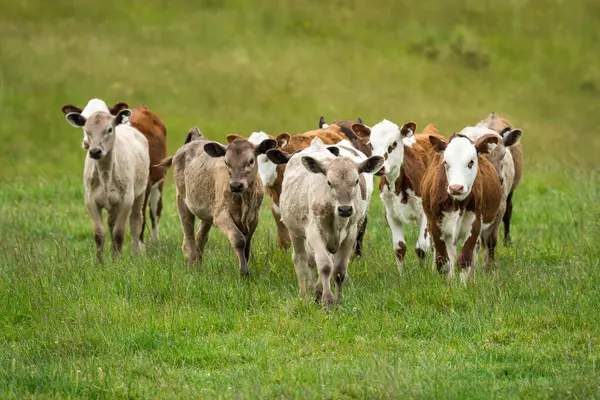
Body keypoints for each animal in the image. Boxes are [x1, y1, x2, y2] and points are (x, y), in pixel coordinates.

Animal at [61, 101, 168, 244]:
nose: (87, 144)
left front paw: (140, 244)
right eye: (83, 123)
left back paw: (155, 241)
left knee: (155, 211)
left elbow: (141, 218)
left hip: (158, 181)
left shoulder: (145, 185)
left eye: (109, 128)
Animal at [161, 130, 276, 276]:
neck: (243, 200)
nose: (236, 185)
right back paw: (191, 267)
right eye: (226, 162)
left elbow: (247, 244)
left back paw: (198, 267)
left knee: (201, 237)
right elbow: (239, 240)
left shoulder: (254, 217)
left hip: (206, 213)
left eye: (251, 161)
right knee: (188, 239)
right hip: (182, 201)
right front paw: (244, 272)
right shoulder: (221, 215)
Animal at [370, 120, 446, 274]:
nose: (379, 166)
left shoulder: (424, 213)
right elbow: (399, 247)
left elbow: (421, 247)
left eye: (393, 143)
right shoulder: (390, 214)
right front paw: (402, 275)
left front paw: (424, 273)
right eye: (370, 145)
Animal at [420, 133, 504, 282]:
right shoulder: (436, 224)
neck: (457, 203)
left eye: (471, 162)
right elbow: (443, 261)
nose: (456, 187)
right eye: (446, 162)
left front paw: (463, 284)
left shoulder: (474, 225)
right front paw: (446, 282)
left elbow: (465, 259)